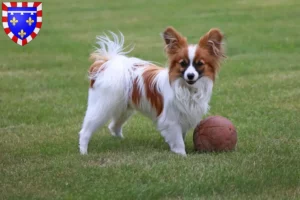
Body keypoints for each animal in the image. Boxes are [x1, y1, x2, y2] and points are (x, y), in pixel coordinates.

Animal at [78, 26, 224, 155]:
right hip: (103, 106)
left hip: (123, 109)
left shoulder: (184, 116)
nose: (190, 75)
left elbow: (181, 136)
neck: (187, 88)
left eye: (200, 64)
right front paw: (182, 155)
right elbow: (178, 141)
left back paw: (122, 142)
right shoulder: (171, 120)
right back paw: (83, 152)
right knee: (85, 131)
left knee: (114, 126)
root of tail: (106, 63)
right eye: (183, 63)